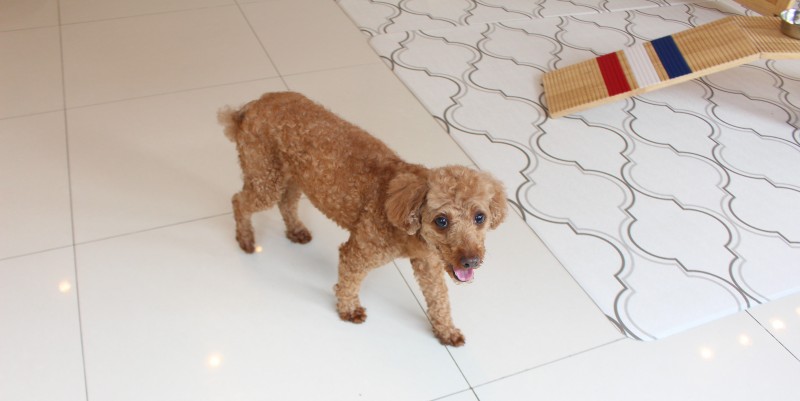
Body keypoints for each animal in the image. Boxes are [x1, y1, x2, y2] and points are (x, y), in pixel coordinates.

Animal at [219, 92, 507, 346]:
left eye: (480, 217)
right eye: (442, 221)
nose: (471, 261)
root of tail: (248, 108)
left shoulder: (428, 264)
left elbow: (439, 300)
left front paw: (446, 331)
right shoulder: (358, 252)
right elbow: (348, 283)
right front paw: (348, 309)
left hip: (292, 178)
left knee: (286, 203)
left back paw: (296, 229)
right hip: (265, 179)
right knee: (239, 201)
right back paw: (245, 238)